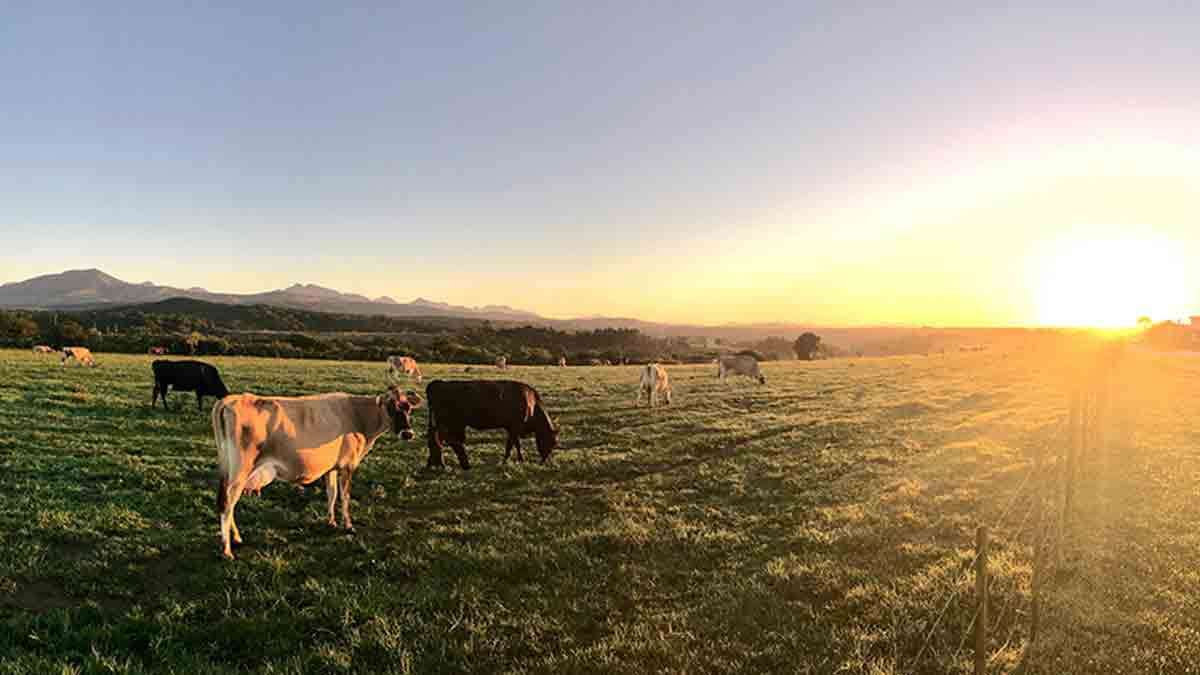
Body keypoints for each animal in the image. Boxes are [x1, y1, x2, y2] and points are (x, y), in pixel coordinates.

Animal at [213, 384, 424, 557]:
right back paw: (226, 549)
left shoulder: (332, 467)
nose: (407, 433)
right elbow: (345, 496)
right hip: (240, 471)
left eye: (408, 408)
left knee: (228, 503)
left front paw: (331, 522)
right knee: (227, 503)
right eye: (390, 408)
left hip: (228, 469)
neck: (358, 415)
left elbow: (332, 493)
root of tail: (231, 399)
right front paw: (348, 526)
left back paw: (236, 538)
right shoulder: (348, 465)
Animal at [424, 379, 559, 468]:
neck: (532, 404)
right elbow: (511, 445)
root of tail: (438, 383)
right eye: (551, 442)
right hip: (449, 423)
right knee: (445, 440)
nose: (543, 461)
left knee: (436, 440)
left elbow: (515, 444)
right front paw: (507, 461)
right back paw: (451, 464)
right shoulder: (515, 427)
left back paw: (433, 464)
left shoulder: (511, 428)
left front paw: (519, 459)